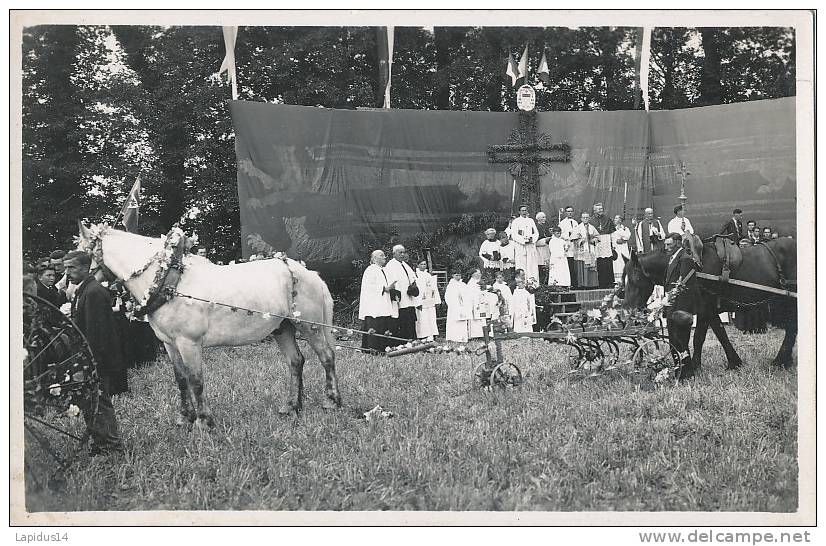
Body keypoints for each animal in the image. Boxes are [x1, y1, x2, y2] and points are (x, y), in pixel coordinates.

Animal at [79, 222, 342, 424]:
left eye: (80, 256)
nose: (73, 289)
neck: (169, 281)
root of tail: (310, 274)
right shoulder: (170, 344)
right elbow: (181, 379)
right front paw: (184, 418)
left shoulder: (189, 343)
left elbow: (196, 380)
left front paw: (204, 422)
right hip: (283, 328)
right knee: (295, 362)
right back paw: (291, 406)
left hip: (309, 326)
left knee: (326, 357)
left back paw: (332, 402)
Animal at [624, 237, 792, 370]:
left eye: (635, 279)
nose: (628, 309)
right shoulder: (705, 310)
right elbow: (710, 335)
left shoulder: (707, 309)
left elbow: (705, 336)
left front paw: (729, 363)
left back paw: (780, 361)